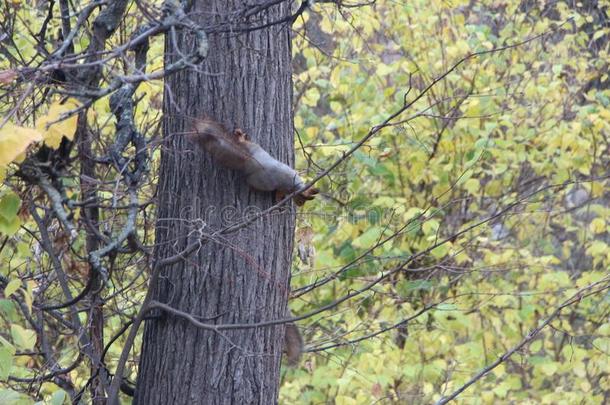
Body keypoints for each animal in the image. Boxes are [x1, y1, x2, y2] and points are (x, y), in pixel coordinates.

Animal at [186, 117, 318, 205]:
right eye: (301, 200)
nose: (299, 205)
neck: (297, 186)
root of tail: (251, 159)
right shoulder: (284, 187)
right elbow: (279, 193)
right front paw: (278, 200)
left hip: (254, 147)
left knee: (243, 142)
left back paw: (240, 134)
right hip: (260, 181)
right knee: (251, 183)